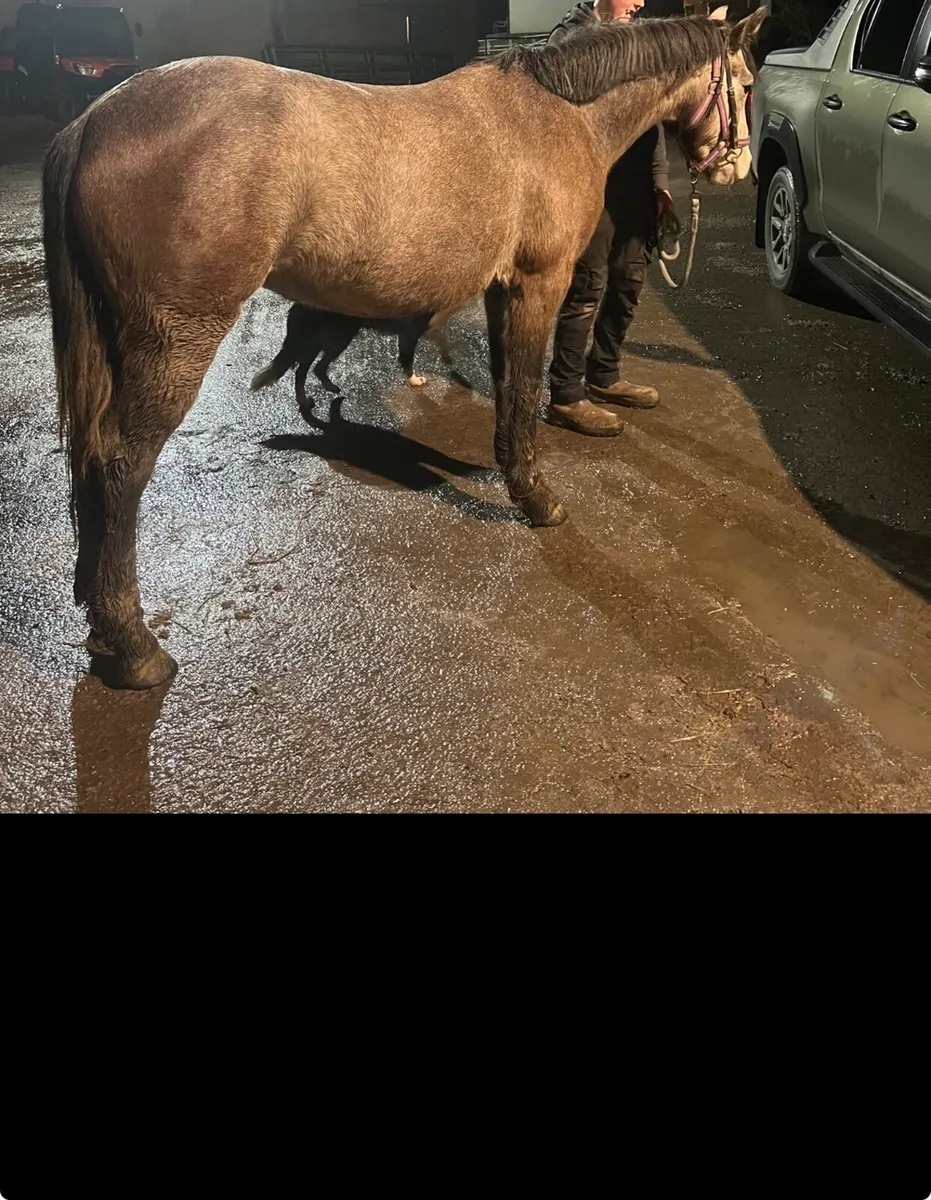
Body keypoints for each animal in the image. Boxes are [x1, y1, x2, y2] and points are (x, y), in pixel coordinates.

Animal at [42, 7, 766, 689]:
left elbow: (507, 384)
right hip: (174, 339)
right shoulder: (540, 280)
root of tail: (94, 120)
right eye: (747, 84)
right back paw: (135, 648)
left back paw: (98, 616)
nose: (741, 166)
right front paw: (537, 500)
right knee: (120, 464)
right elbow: (525, 385)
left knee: (92, 458)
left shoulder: (503, 288)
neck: (558, 115)